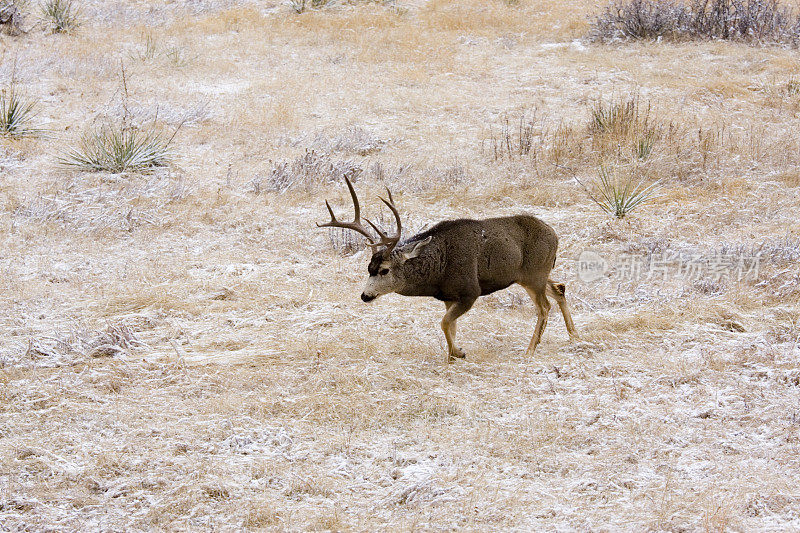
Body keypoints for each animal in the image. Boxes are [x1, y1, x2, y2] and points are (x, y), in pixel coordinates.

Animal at [318, 177, 576, 364]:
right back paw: (574, 336)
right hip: (533, 275)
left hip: (534, 274)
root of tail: (554, 235)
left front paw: (459, 353)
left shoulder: (470, 291)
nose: (365, 296)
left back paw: (530, 350)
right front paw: (452, 357)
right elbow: (450, 326)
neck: (440, 268)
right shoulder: (448, 297)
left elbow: (444, 323)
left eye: (384, 270)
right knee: (560, 288)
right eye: (368, 268)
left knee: (544, 307)